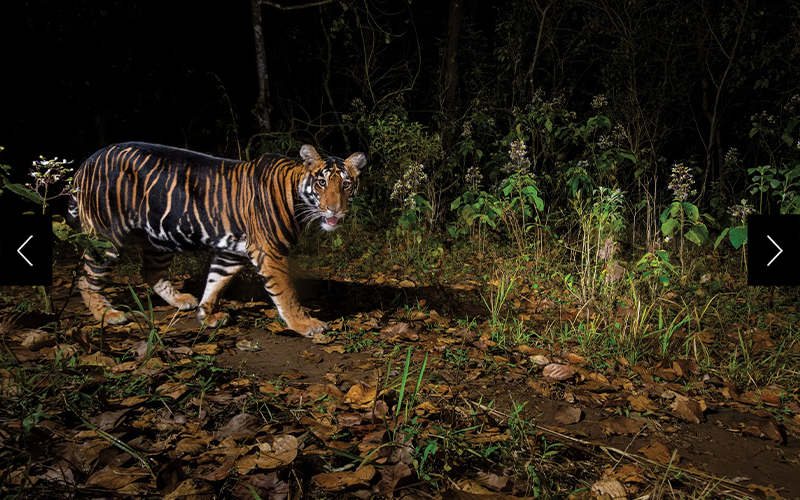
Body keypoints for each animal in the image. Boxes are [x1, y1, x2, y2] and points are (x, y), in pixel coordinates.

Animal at [69, 141, 366, 336]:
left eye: (346, 184)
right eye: (322, 183)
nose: (335, 209)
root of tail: (85, 163)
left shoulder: (231, 253)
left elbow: (215, 283)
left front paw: (206, 315)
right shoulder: (270, 252)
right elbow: (286, 293)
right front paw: (305, 325)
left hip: (160, 237)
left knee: (151, 272)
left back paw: (181, 300)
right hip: (105, 237)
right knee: (86, 279)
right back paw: (109, 314)